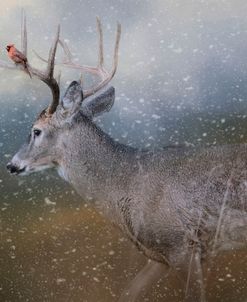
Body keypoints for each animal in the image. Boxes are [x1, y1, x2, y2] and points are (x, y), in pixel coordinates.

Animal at [2, 11, 247, 302]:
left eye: (36, 131)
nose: (11, 164)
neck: (126, 180)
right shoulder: (158, 256)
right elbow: (127, 292)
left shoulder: (182, 244)